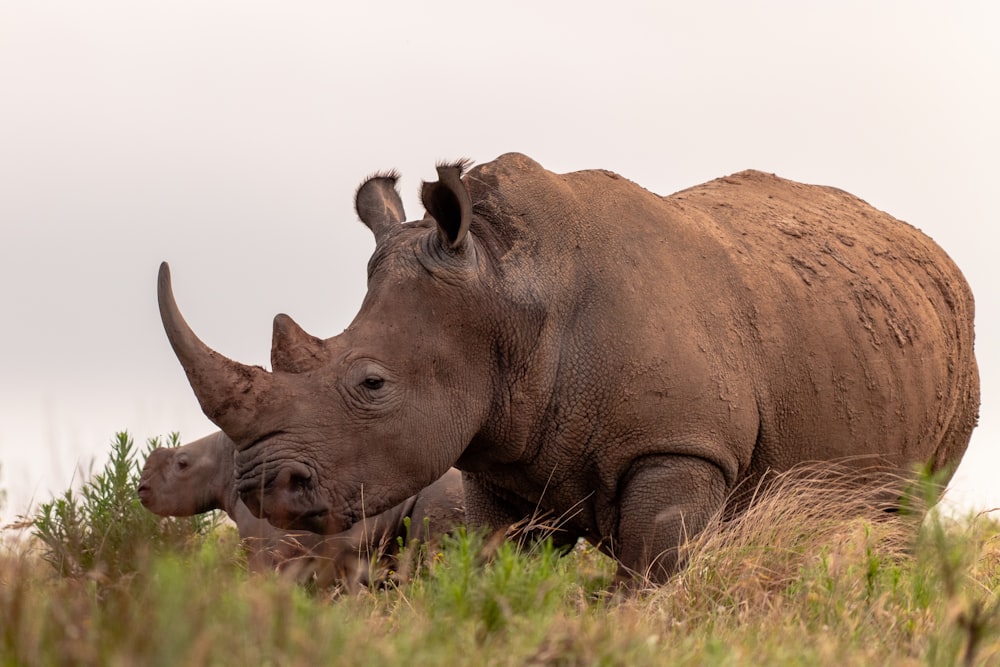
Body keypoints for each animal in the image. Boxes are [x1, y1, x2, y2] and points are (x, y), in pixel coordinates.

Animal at [160, 154, 980, 580]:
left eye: (371, 383)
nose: (260, 488)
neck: (507, 289)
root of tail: (933, 255)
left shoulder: (678, 445)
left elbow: (654, 571)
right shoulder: (499, 462)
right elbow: (500, 571)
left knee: (906, 514)